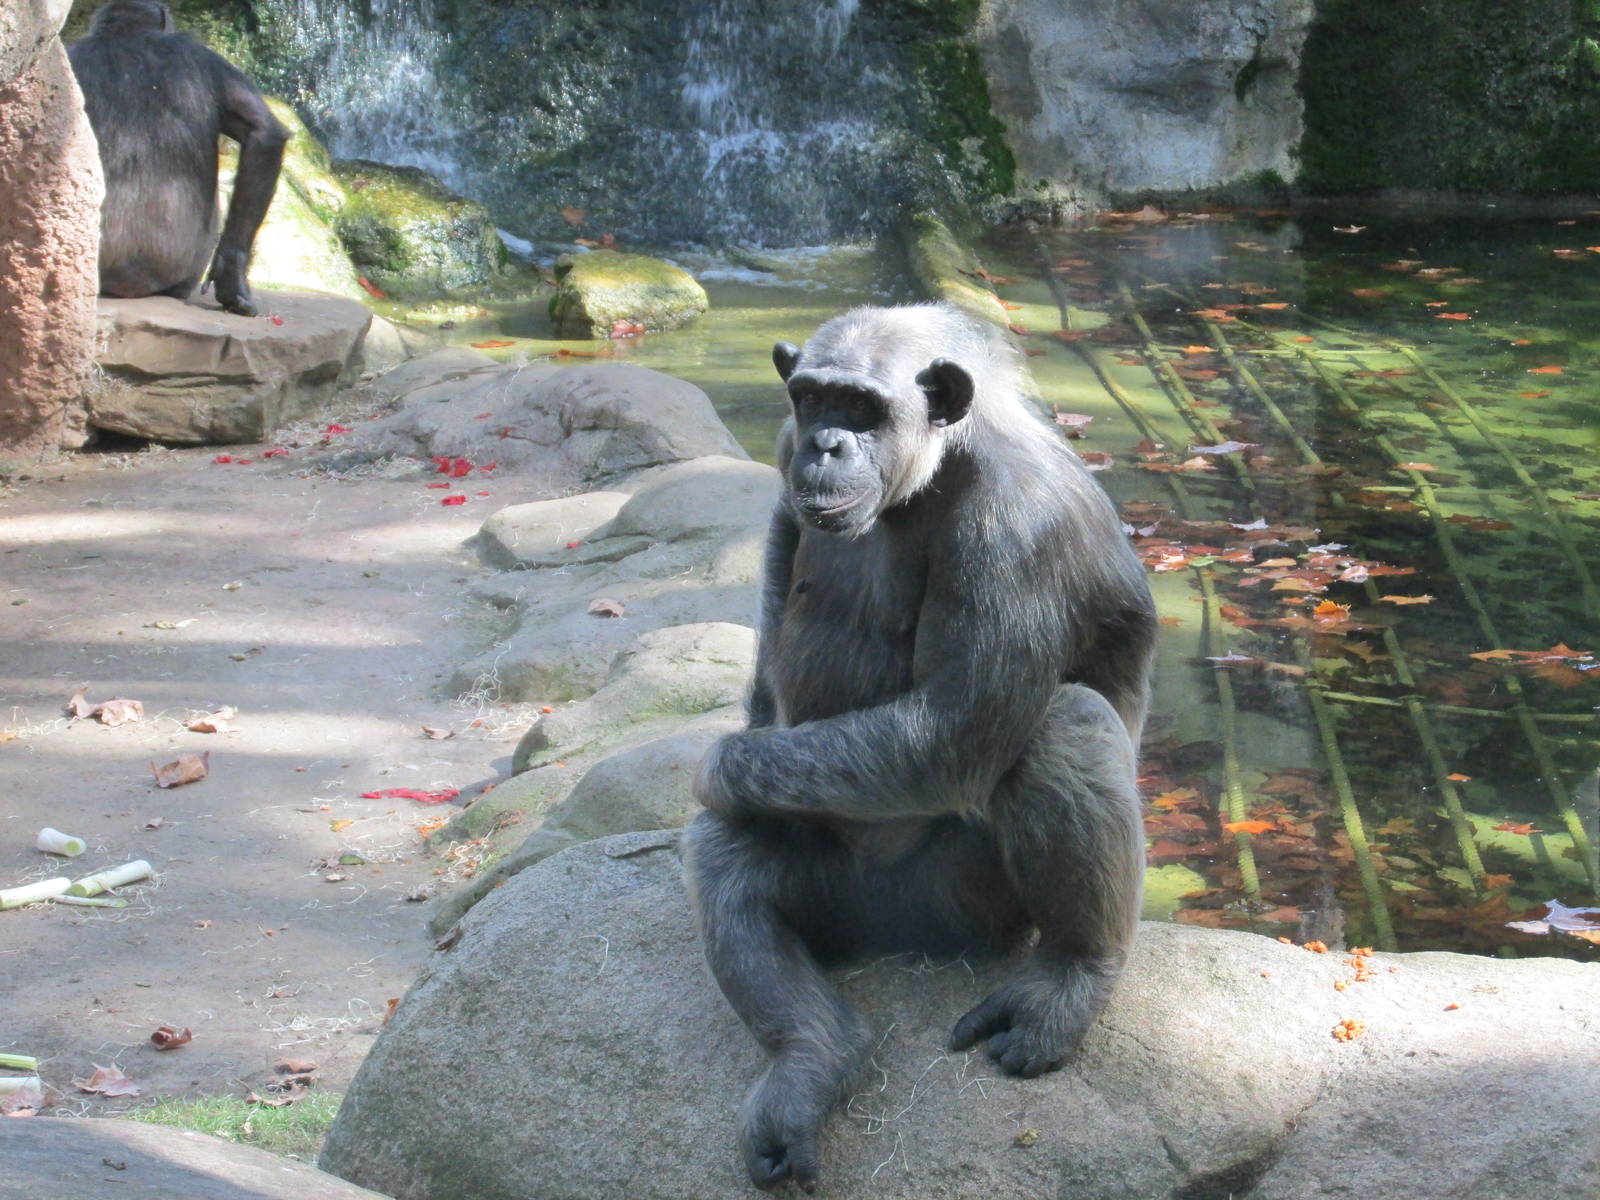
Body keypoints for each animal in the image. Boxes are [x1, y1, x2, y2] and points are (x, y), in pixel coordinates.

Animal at [682, 303, 1157, 1189]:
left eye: (863, 408)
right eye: (811, 398)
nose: (827, 442)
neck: (930, 473)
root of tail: (903, 935)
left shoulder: (1019, 527)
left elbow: (953, 727)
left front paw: (714, 766)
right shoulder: (781, 482)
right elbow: (768, 687)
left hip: (971, 900)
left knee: (1065, 723)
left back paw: (1070, 981)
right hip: (843, 899)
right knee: (730, 858)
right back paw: (812, 1061)